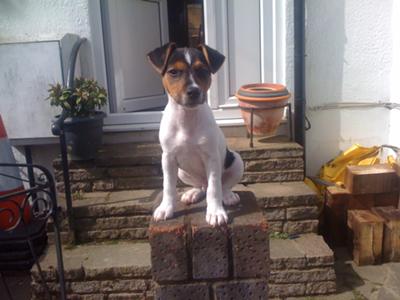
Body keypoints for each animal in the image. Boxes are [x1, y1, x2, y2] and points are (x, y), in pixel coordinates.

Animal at [147, 42, 244, 225]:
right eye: (173, 72)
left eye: (203, 70)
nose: (194, 91)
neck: (187, 117)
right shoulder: (168, 158)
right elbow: (168, 187)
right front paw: (166, 208)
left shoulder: (212, 158)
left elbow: (214, 188)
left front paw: (215, 212)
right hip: (182, 172)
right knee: (202, 186)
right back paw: (193, 193)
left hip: (236, 160)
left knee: (221, 185)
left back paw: (228, 195)